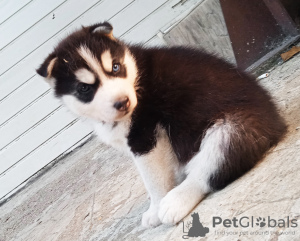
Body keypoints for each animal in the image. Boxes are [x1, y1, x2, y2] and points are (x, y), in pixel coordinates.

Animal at [35, 22, 286, 228]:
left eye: (115, 67)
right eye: (85, 88)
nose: (123, 102)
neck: (136, 80)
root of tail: (276, 119)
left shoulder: (145, 137)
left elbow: (154, 180)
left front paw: (155, 208)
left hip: (232, 128)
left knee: (209, 169)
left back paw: (175, 201)